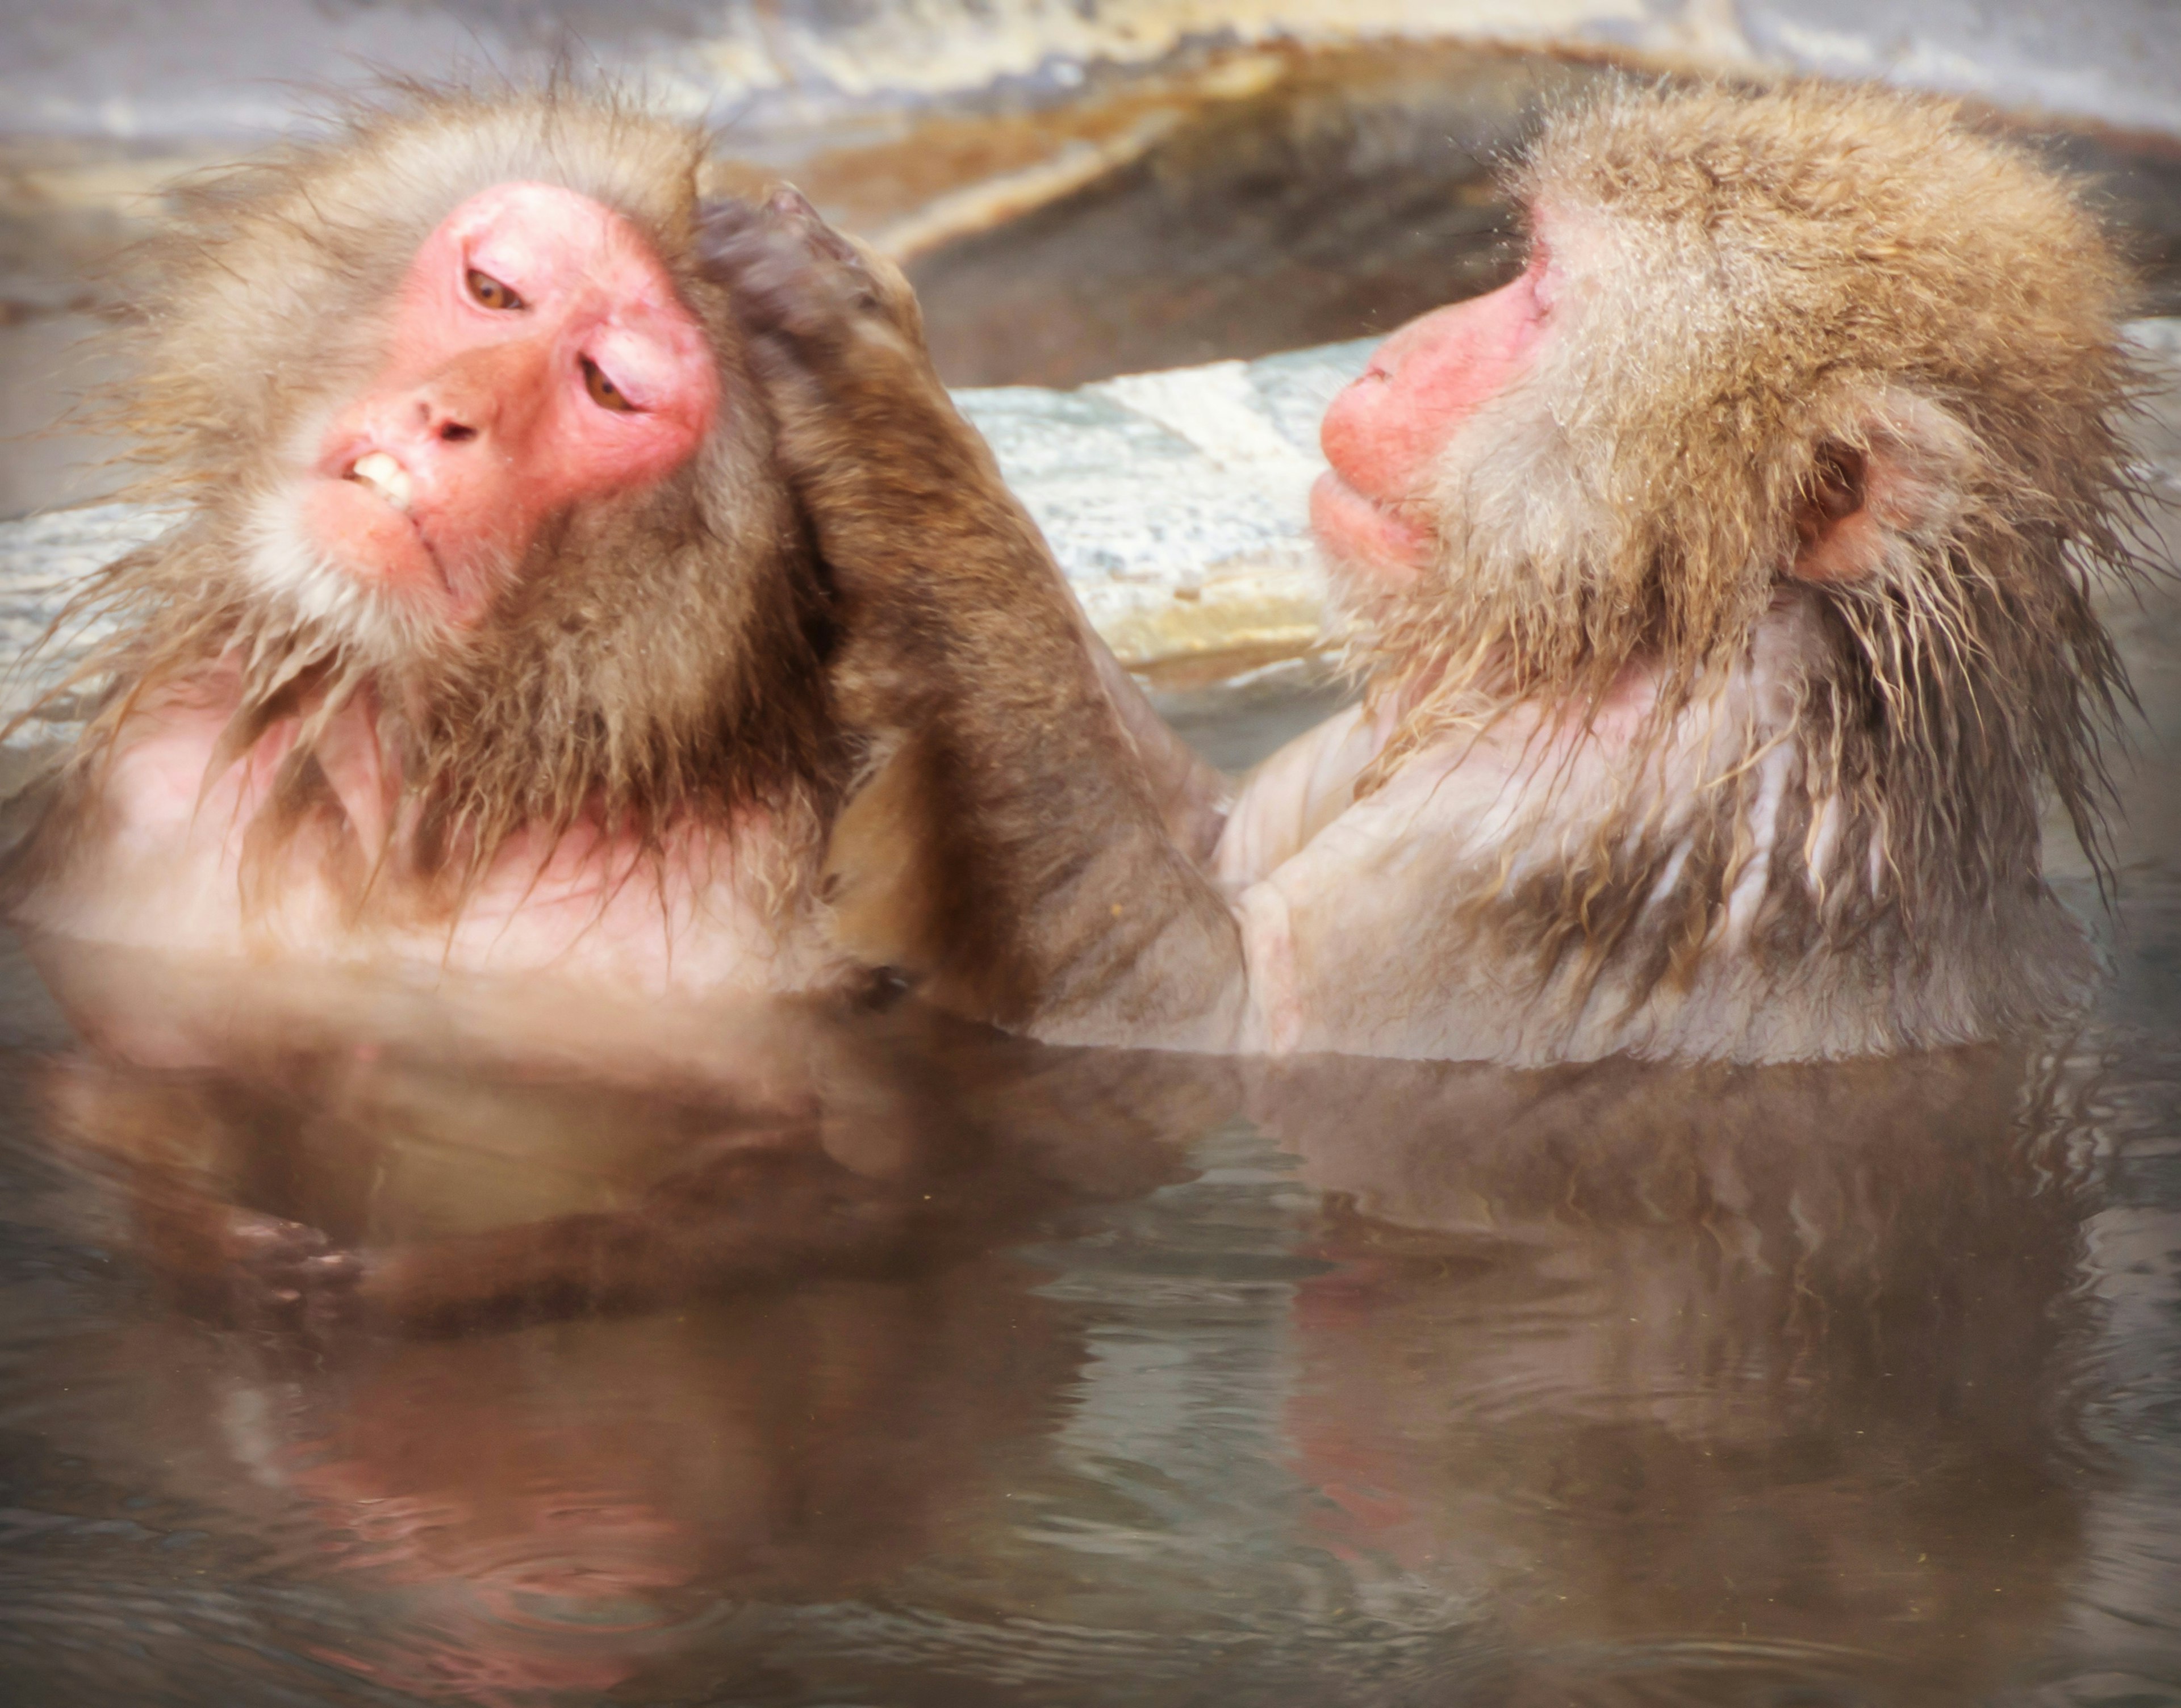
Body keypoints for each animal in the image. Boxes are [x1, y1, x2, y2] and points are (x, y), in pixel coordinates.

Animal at [720, 83, 2163, 1069]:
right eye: (1523, 263)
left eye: (1540, 301)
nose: (1387, 355)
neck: (1676, 630)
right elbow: (1213, 832)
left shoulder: (1560, 842)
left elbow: (1199, 1008)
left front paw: (865, 373)